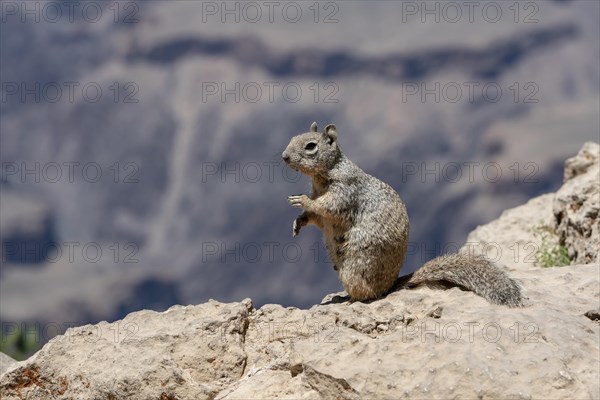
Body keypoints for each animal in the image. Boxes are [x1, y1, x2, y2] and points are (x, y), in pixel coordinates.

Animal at [284, 122, 524, 306]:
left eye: (311, 146)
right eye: (293, 137)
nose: (284, 157)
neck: (322, 177)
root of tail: (392, 285)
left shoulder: (345, 191)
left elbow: (328, 206)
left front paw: (301, 200)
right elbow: (317, 217)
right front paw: (298, 222)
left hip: (354, 268)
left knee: (368, 294)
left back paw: (349, 300)